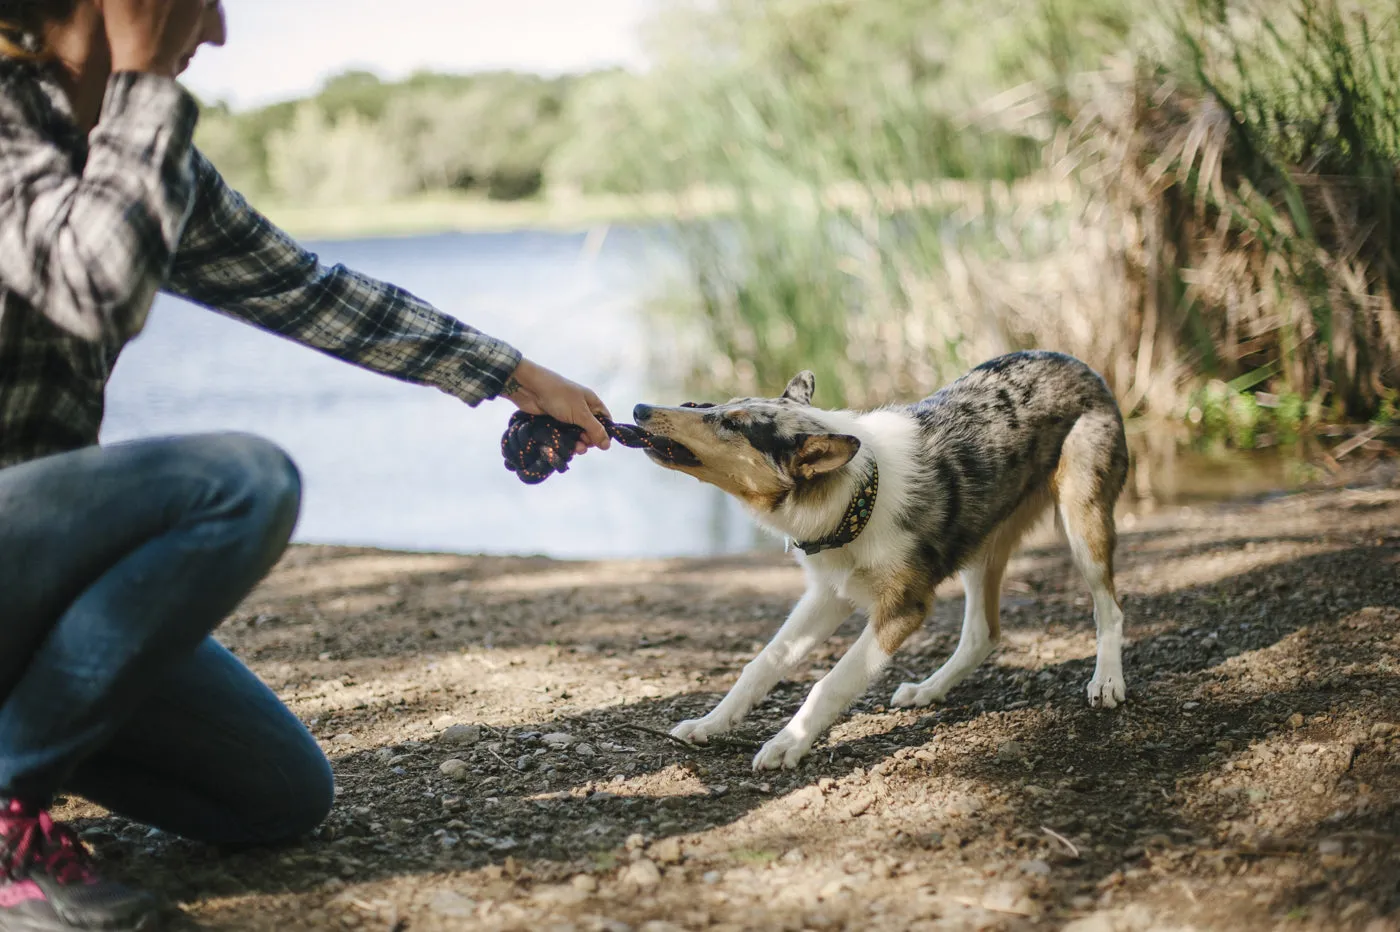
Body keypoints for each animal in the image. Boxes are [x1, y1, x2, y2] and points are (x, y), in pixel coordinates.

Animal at [632, 349, 1125, 766]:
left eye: (734, 425)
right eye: (714, 406)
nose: (638, 410)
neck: (859, 496)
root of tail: (1078, 362)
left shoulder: (902, 611)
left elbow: (829, 683)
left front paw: (788, 743)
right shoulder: (828, 596)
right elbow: (763, 664)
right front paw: (711, 723)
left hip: (1082, 523)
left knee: (1110, 609)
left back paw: (1106, 680)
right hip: (980, 546)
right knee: (983, 633)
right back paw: (929, 689)